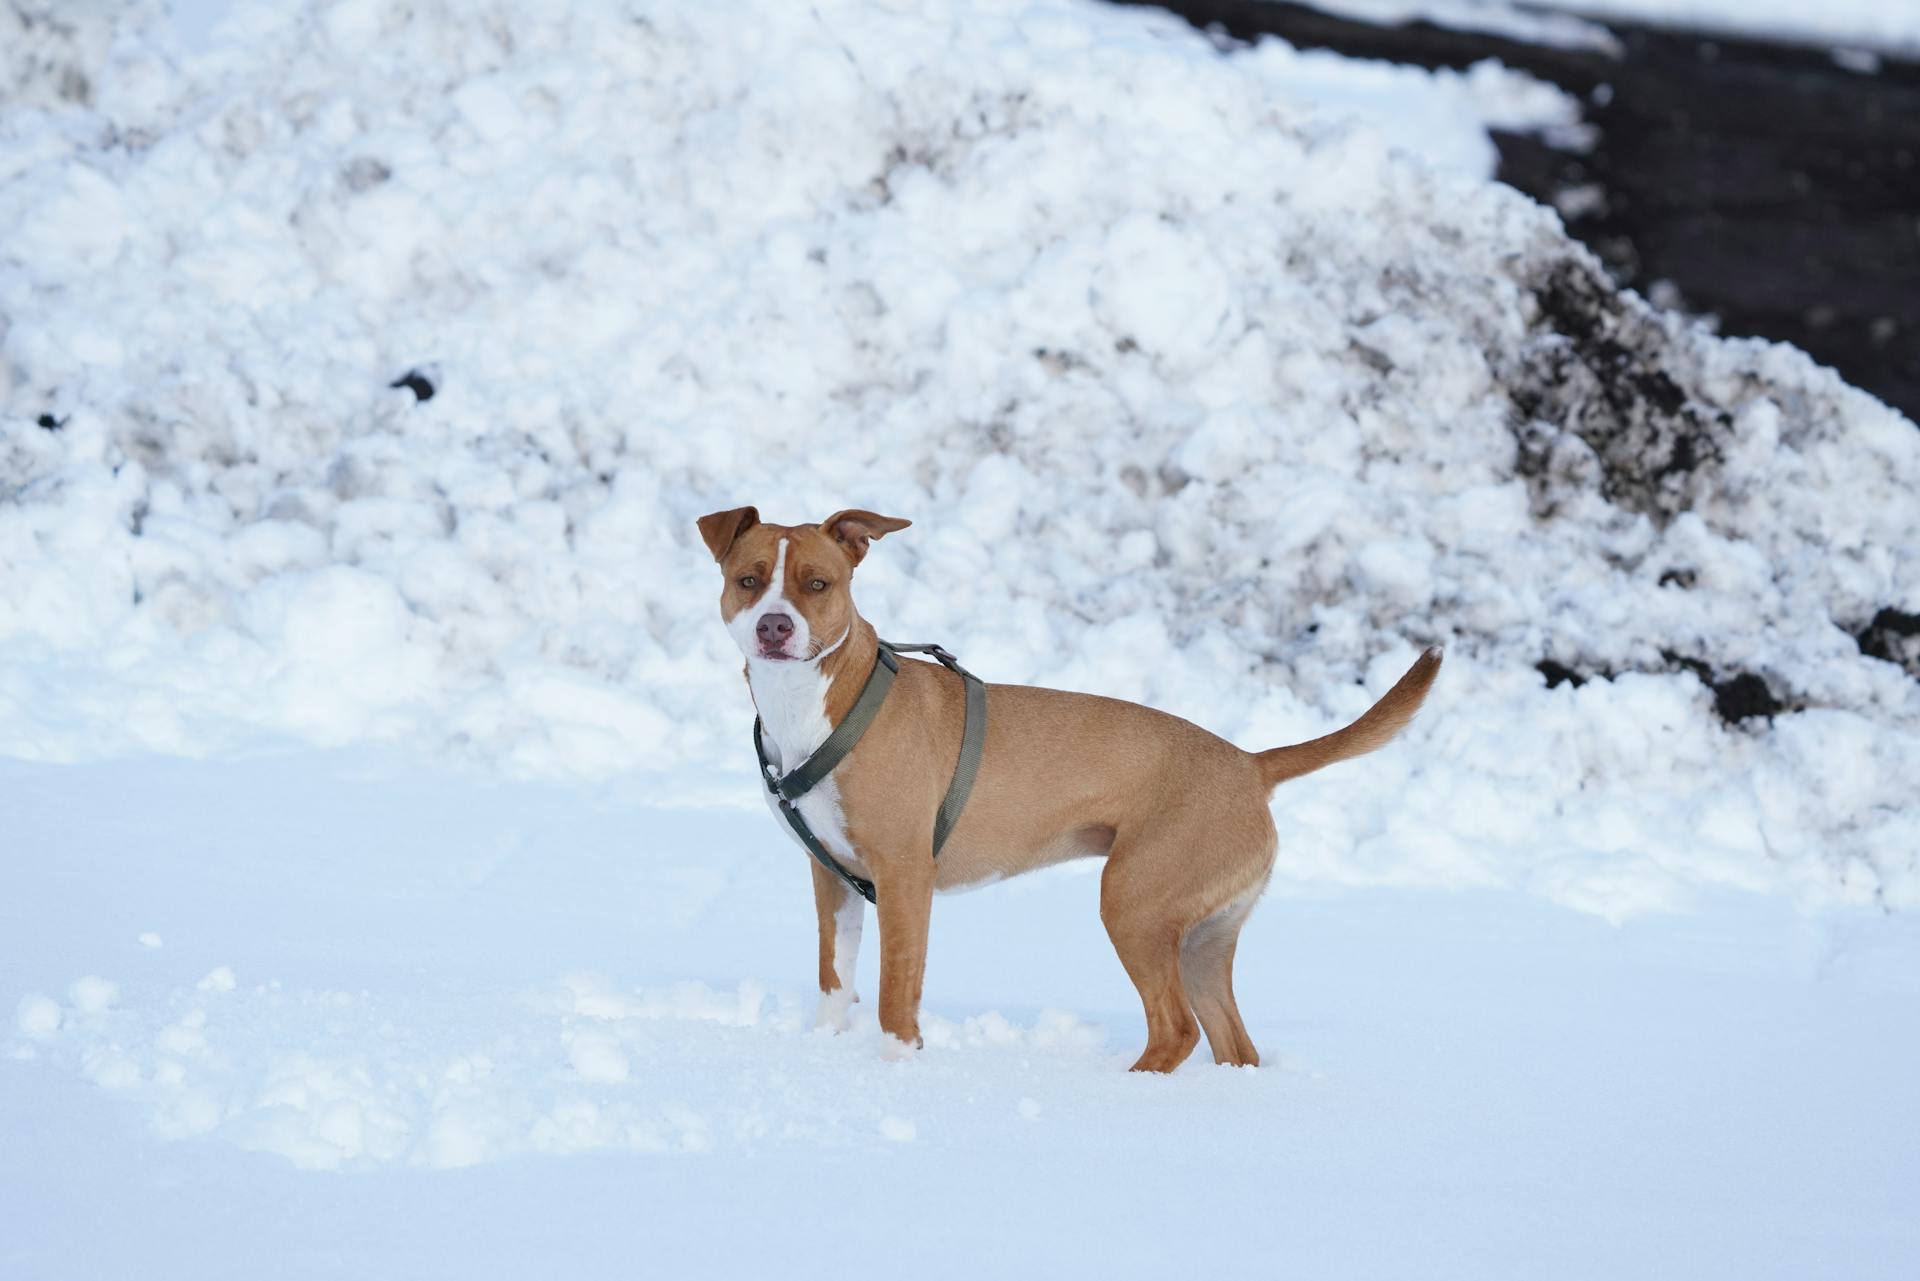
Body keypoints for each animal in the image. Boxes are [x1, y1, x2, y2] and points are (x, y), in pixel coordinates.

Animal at [702, 503, 1443, 1075]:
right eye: (748, 580)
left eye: (817, 583)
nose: (775, 625)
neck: (817, 706)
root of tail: (1250, 763)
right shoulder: (832, 878)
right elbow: (835, 979)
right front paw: (823, 1053)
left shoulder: (904, 877)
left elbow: (894, 997)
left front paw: (895, 1070)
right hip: (1202, 936)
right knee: (1233, 1044)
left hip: (1134, 902)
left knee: (1175, 1029)